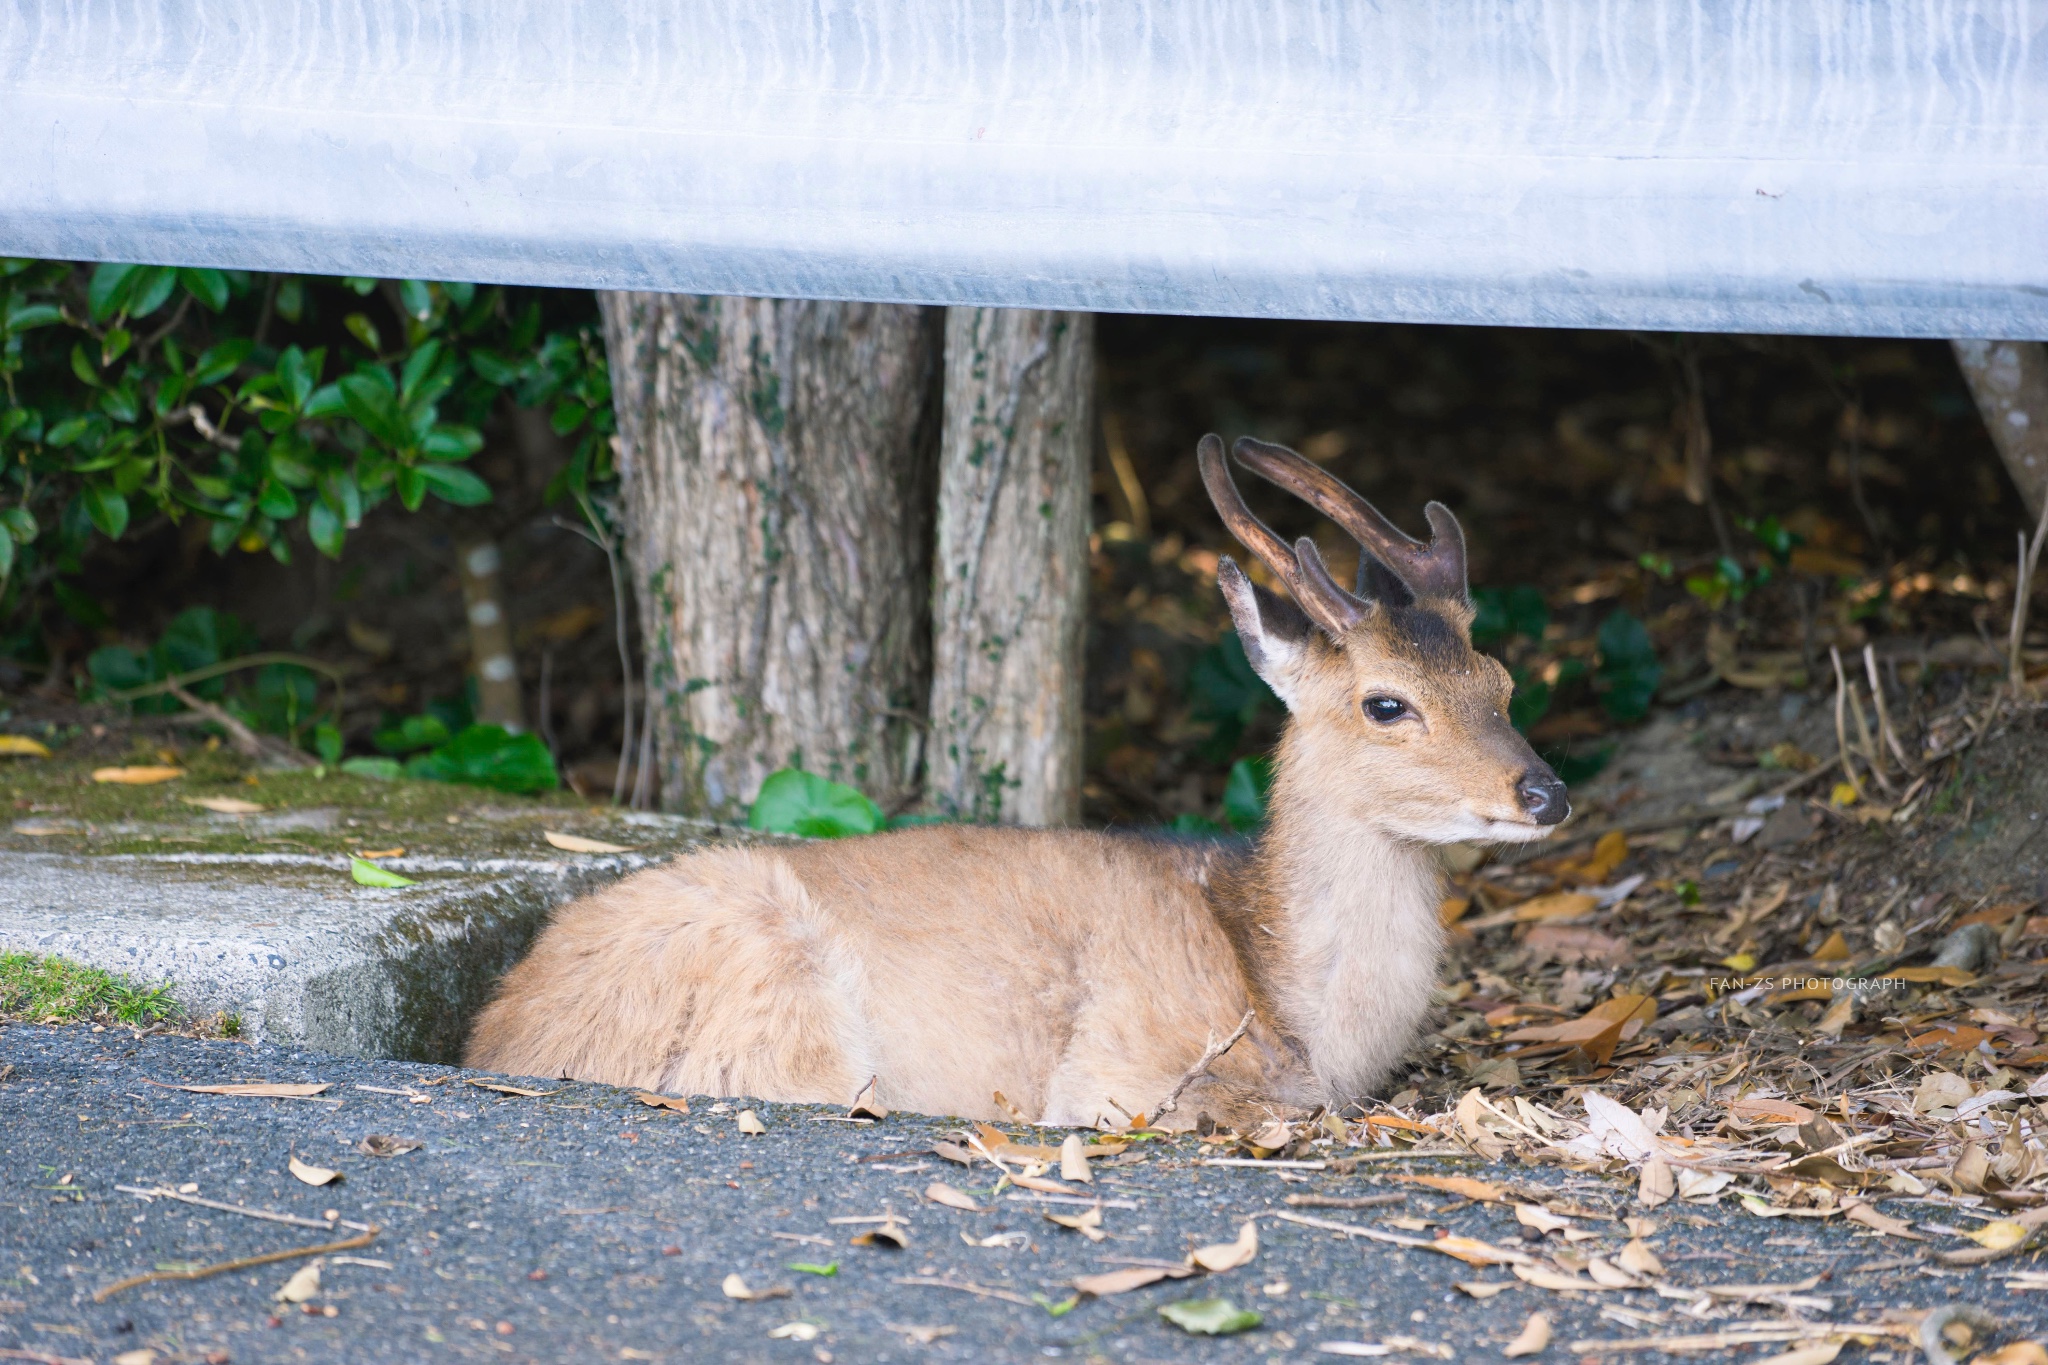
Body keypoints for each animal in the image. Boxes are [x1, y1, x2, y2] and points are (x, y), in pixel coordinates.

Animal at [471, 437, 1564, 1129]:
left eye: (1502, 682)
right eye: (1386, 703)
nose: (1543, 793)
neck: (1286, 1000)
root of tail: (500, 1036)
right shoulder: (1123, 1070)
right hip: (780, 1019)